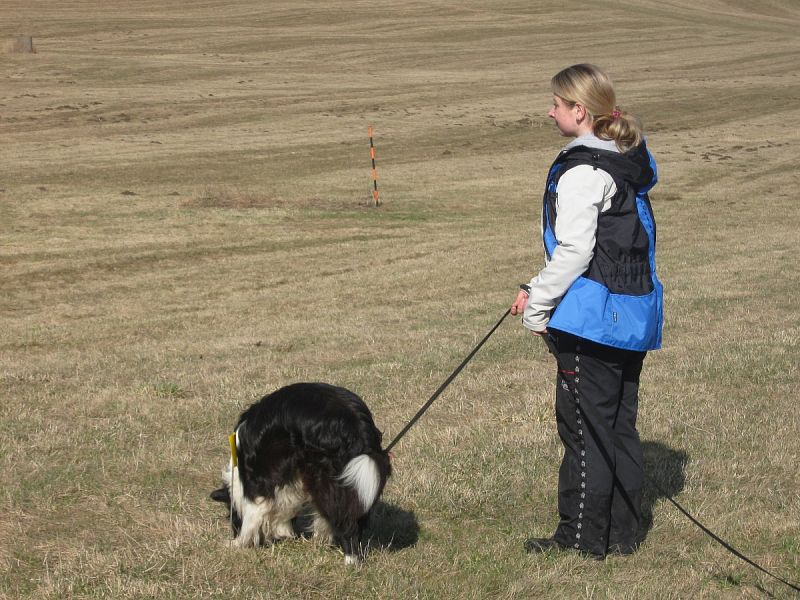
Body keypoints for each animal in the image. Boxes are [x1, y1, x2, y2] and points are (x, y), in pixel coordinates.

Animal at [211, 382, 390, 564]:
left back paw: (350, 559)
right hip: (359, 479)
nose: (234, 529)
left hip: (329, 478)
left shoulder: (258, 481)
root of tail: (357, 424)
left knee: (345, 520)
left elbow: (254, 510)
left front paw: (238, 542)